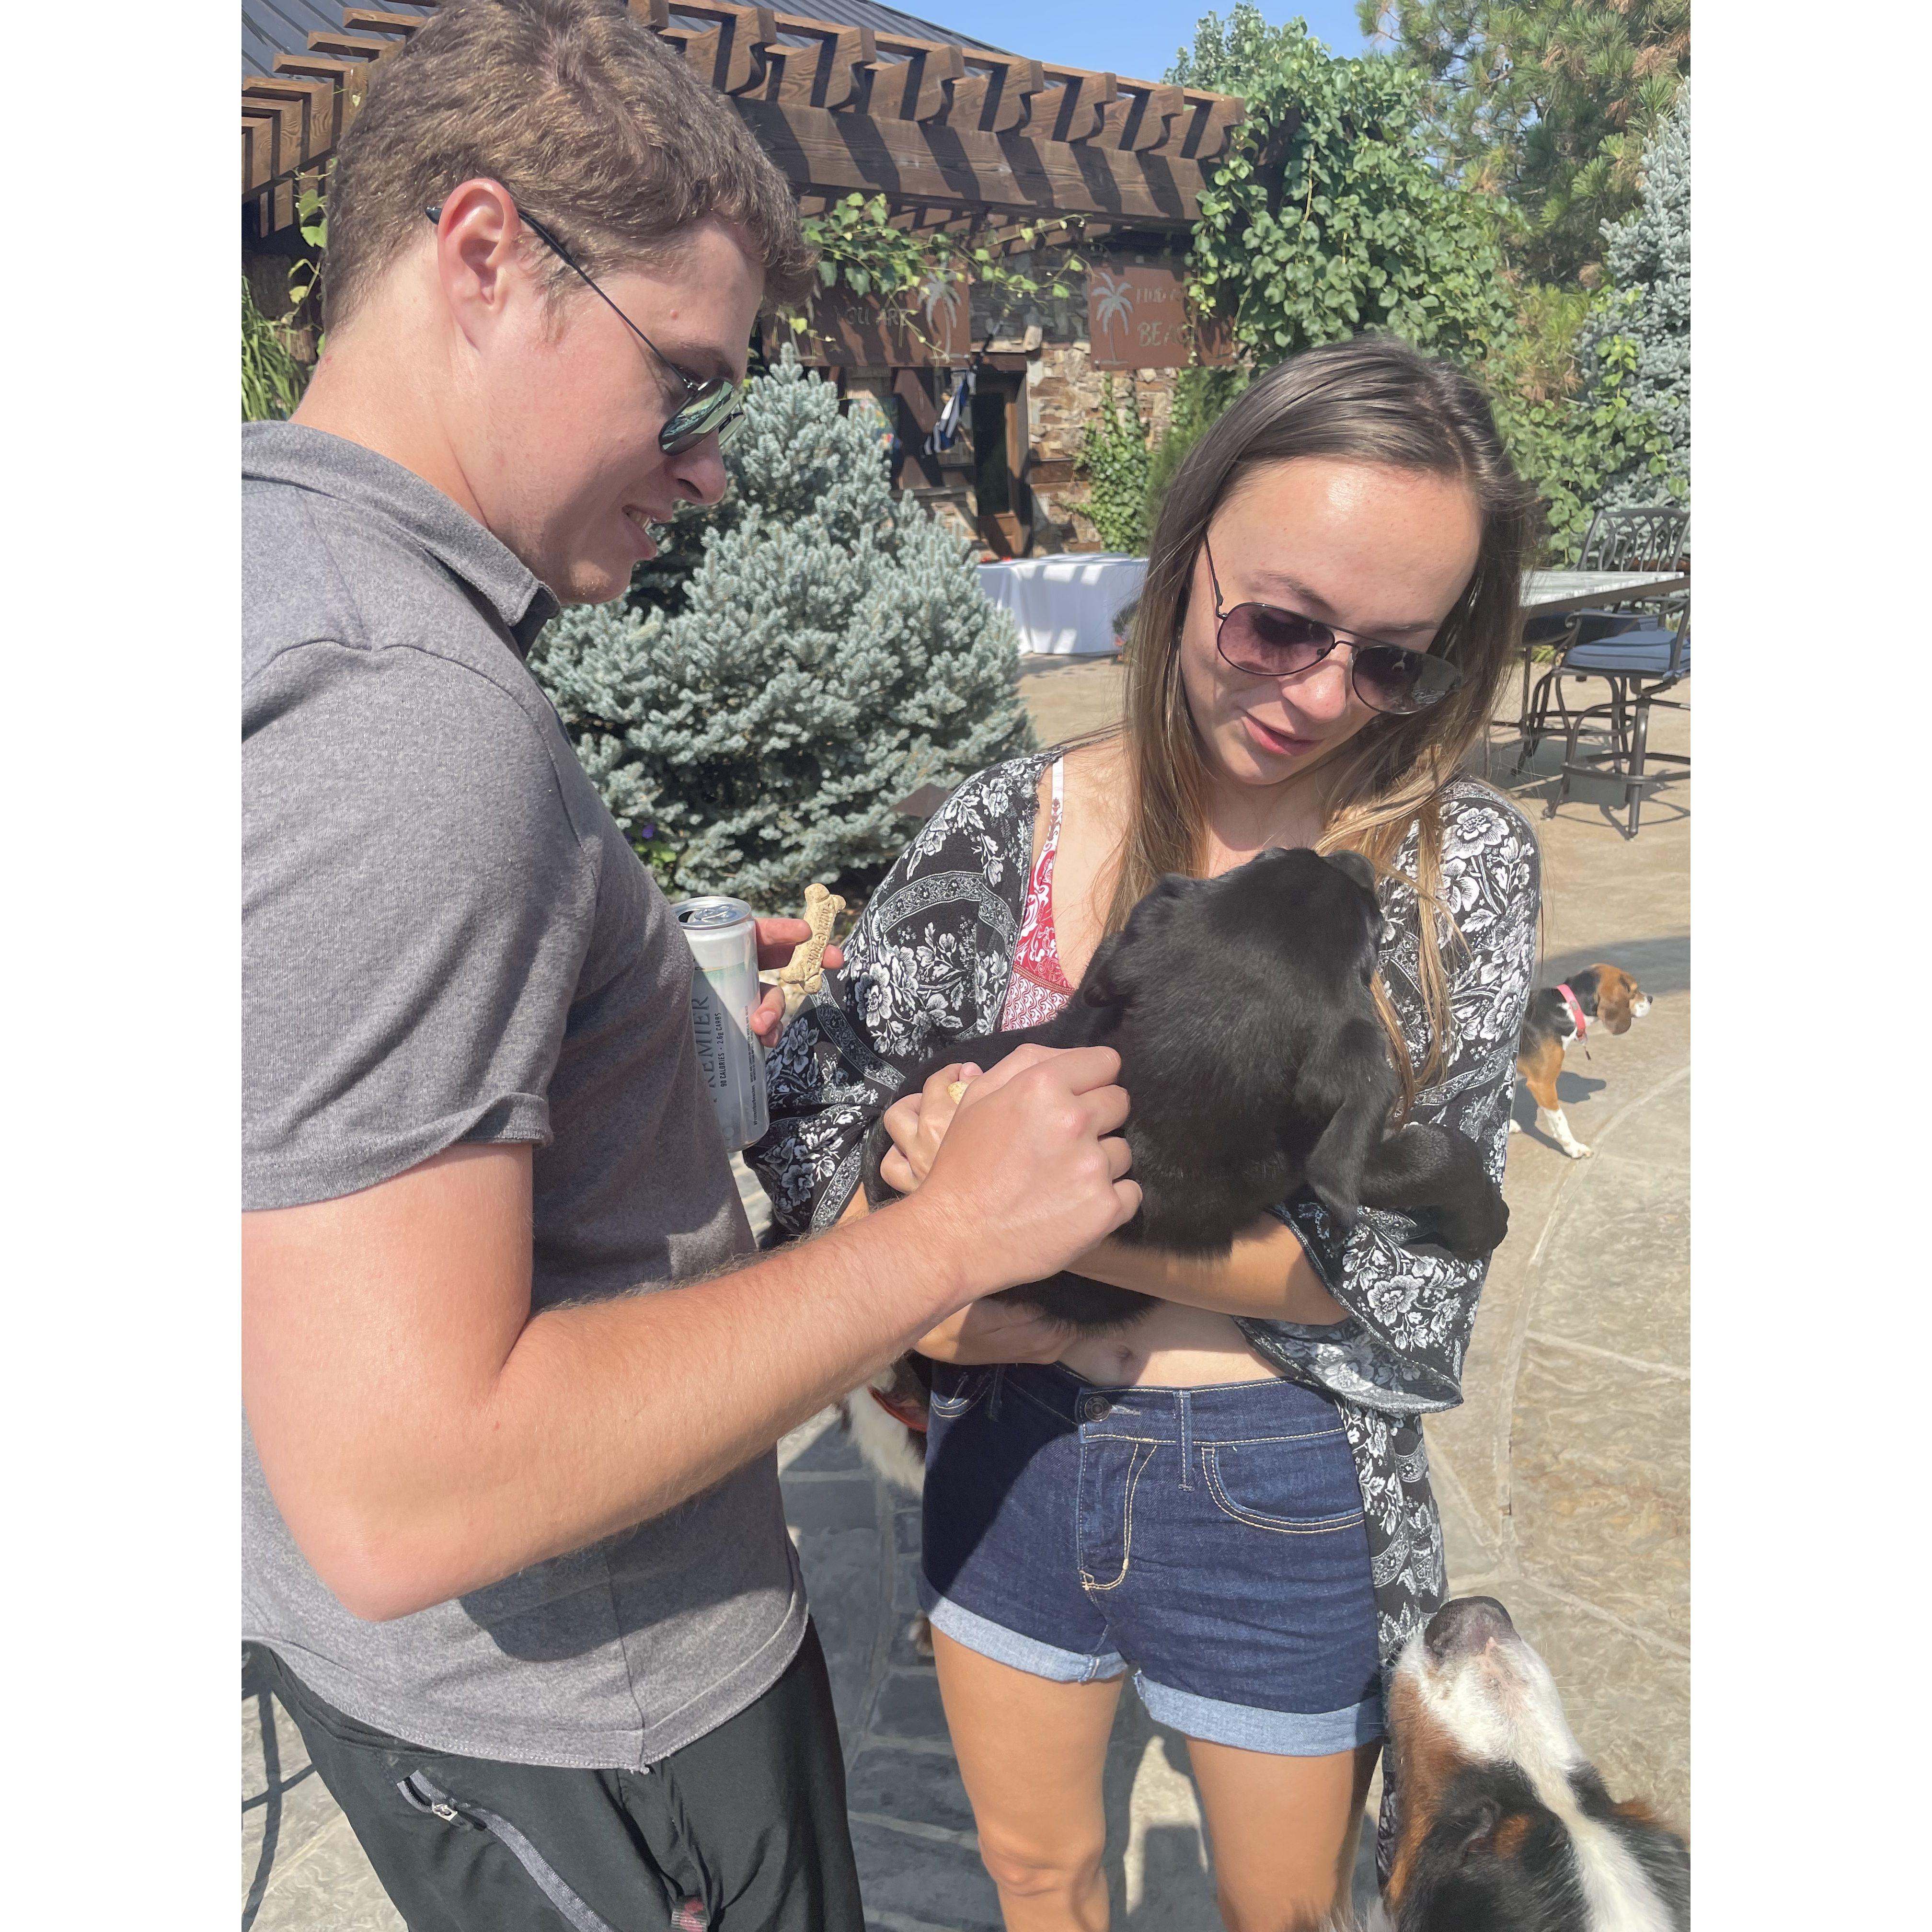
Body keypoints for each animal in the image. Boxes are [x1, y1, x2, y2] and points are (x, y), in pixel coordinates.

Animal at [865, 846, 1506, 1329]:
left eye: (1272, 853)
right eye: (1373, 931)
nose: (1355, 859)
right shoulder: (1304, 1162)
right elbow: (1435, 1155)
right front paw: (1485, 1220)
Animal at [1506, 966, 1646, 1159]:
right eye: (1633, 991)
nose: (1651, 999)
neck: (1568, 1009)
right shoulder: (1543, 1084)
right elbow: (1560, 1122)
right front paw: (1573, 1148)